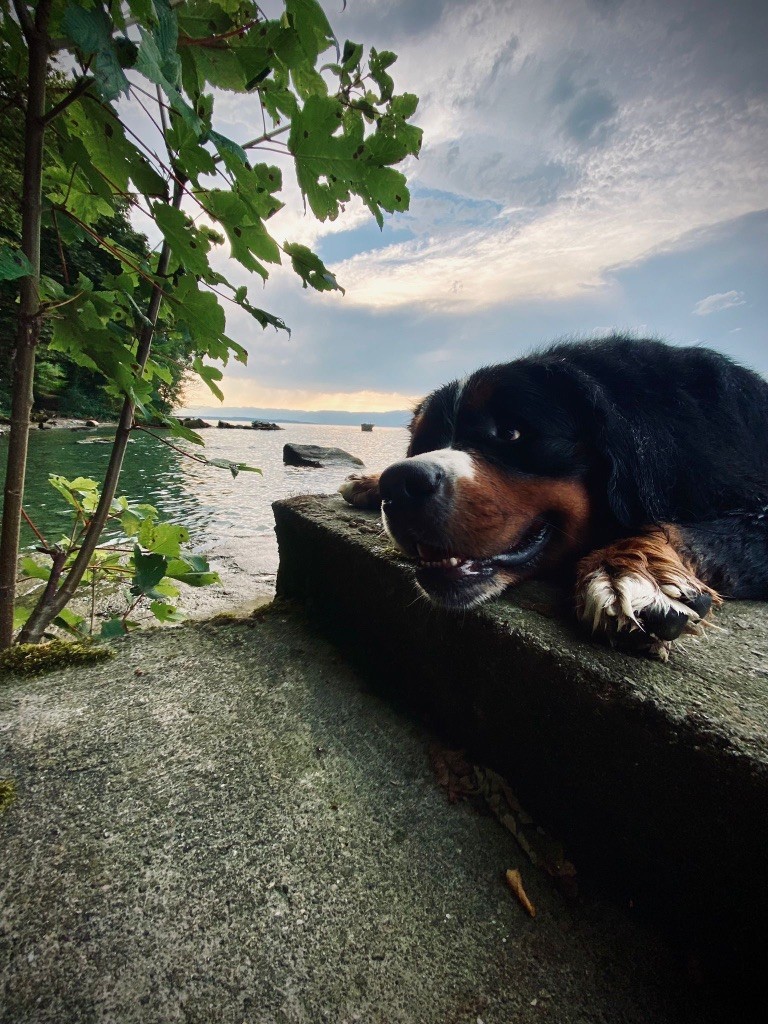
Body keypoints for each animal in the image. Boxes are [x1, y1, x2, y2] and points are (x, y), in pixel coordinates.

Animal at [339, 331, 768, 659]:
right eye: (424, 443)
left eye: (510, 432)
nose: (399, 484)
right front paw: (370, 480)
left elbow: (692, 531)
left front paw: (630, 572)